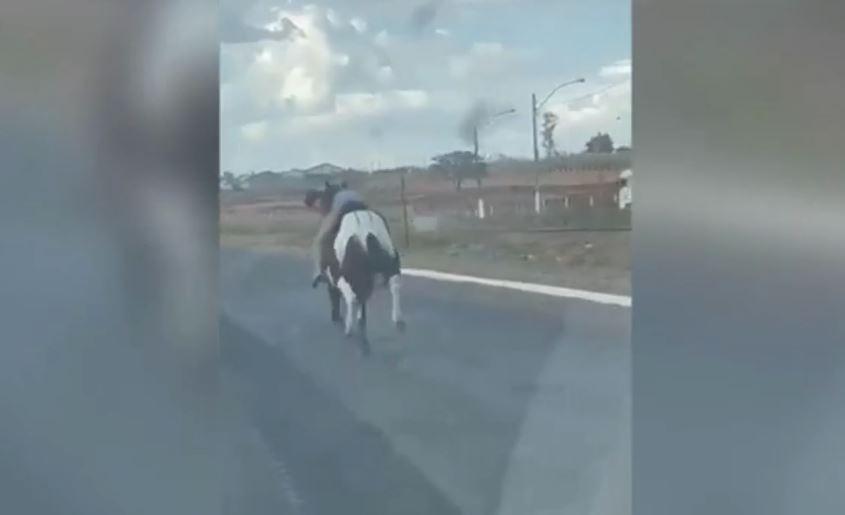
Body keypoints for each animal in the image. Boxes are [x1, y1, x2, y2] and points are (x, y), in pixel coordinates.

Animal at [306, 182, 406, 354]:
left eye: (322, 194)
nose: (308, 199)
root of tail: (367, 232)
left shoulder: (333, 275)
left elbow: (336, 295)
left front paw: (337, 317)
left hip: (350, 273)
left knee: (352, 297)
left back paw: (350, 329)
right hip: (391, 260)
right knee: (394, 285)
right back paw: (397, 320)